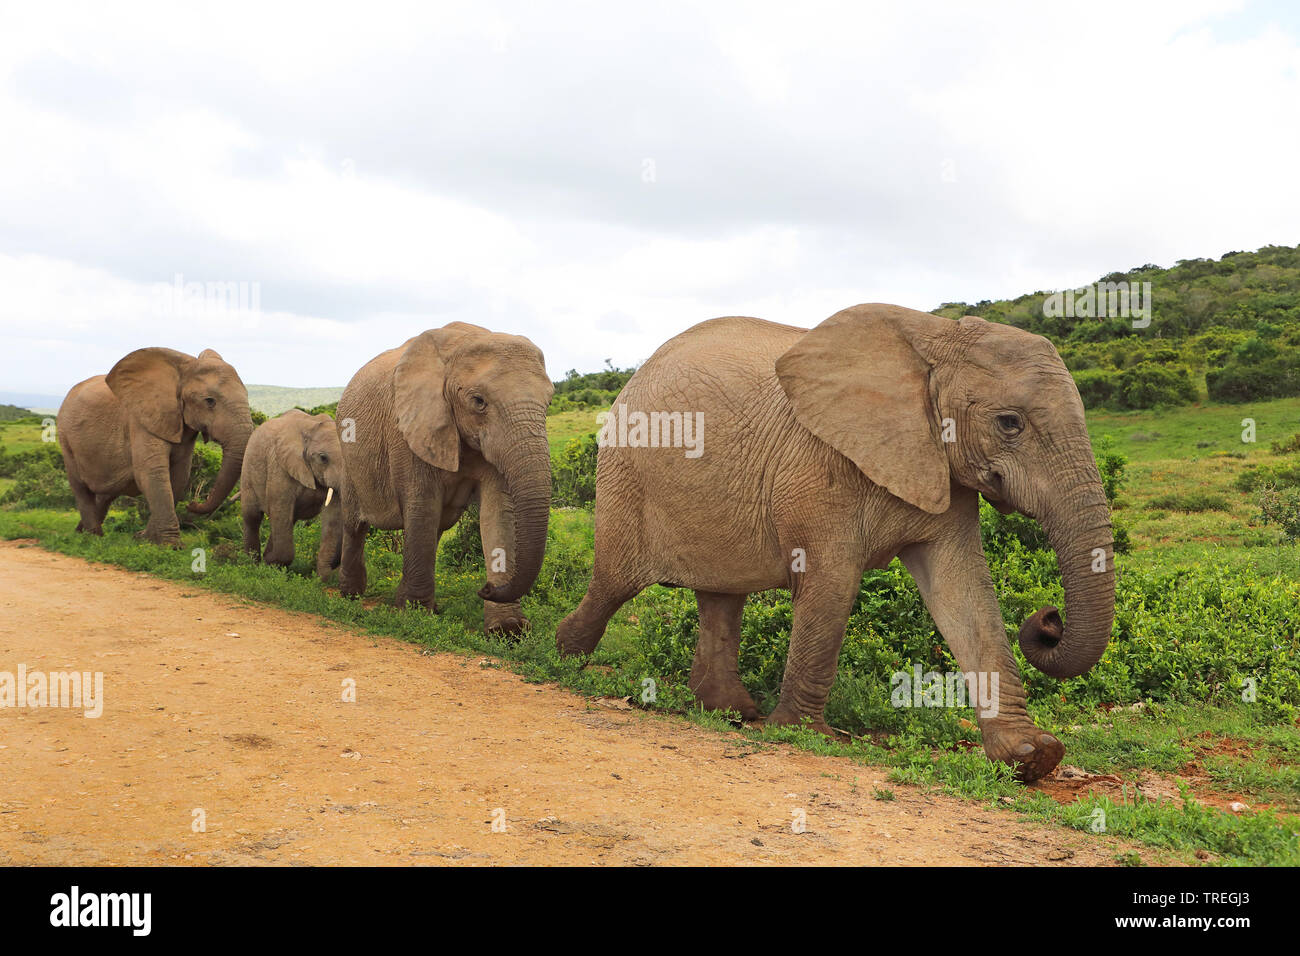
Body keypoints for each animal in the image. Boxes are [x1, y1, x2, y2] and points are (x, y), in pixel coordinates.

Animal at [57, 348, 254, 546]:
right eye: (210, 401)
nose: (192, 504)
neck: (183, 368)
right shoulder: (141, 419)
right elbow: (152, 472)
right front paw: (171, 546)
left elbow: (179, 476)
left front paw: (145, 539)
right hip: (65, 437)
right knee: (80, 486)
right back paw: (92, 537)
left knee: (106, 494)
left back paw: (82, 532)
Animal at [335, 323, 553, 634]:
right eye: (478, 401)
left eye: (549, 402)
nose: (484, 588)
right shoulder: (410, 426)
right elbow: (423, 504)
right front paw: (415, 614)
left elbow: (498, 512)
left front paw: (508, 630)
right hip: (348, 455)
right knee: (355, 525)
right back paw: (351, 595)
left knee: (435, 528)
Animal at [553, 303, 1112, 780]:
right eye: (1009, 423)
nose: (1048, 620)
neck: (934, 339)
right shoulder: (818, 464)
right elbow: (833, 583)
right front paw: (802, 732)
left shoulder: (944, 469)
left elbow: (964, 591)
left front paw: (1032, 756)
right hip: (626, 474)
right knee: (615, 582)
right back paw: (564, 656)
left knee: (722, 596)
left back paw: (730, 711)